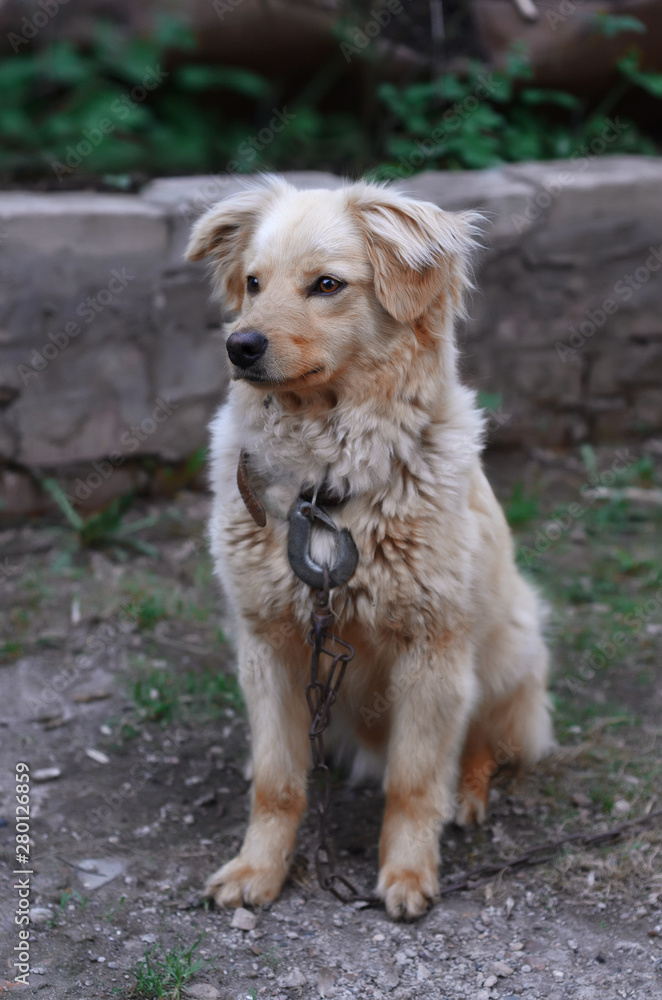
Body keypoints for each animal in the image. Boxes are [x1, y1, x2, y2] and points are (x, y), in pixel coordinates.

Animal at [188, 176, 556, 916]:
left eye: (326, 285)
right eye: (252, 282)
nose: (239, 346)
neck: (326, 484)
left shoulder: (433, 652)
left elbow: (413, 783)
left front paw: (408, 875)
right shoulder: (268, 645)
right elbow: (277, 782)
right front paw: (257, 870)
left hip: (509, 647)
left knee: (488, 743)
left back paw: (468, 794)